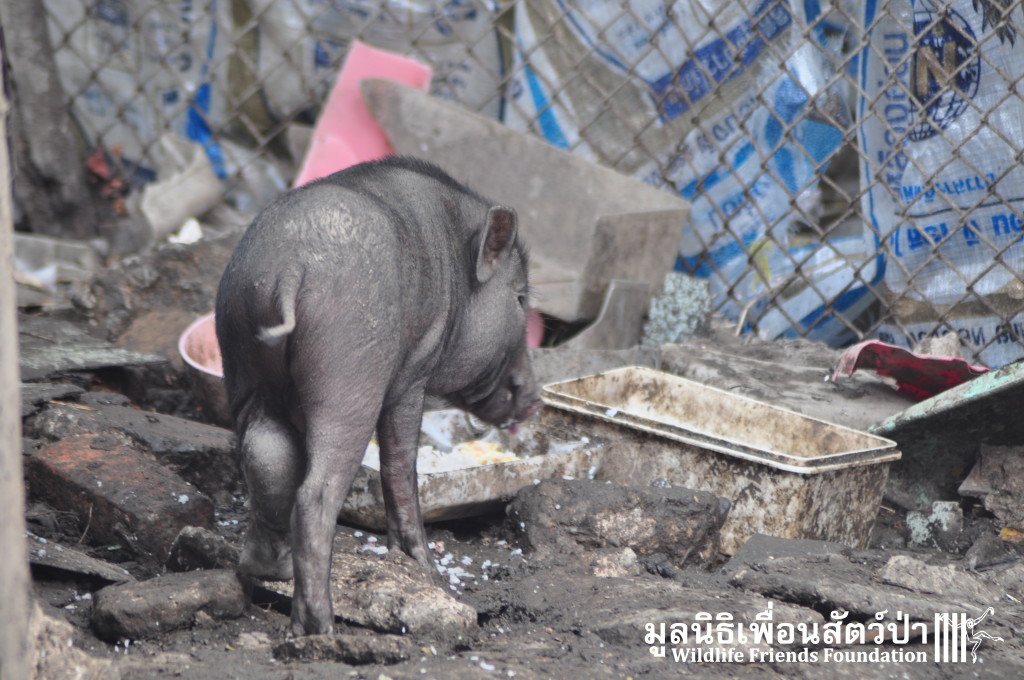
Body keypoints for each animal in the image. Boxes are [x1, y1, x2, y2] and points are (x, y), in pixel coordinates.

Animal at [215, 156, 541, 636]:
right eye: (519, 297)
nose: (536, 400)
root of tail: (290, 266)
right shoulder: (413, 375)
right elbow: (400, 466)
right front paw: (424, 567)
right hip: (349, 376)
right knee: (315, 494)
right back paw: (319, 629)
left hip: (242, 361)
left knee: (266, 458)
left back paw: (266, 570)